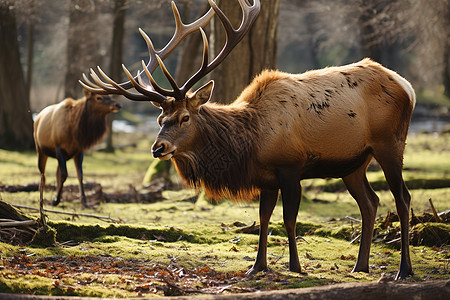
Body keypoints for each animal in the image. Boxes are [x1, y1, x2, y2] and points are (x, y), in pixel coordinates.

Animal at [33, 88, 121, 216]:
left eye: (110, 96)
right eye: (98, 97)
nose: (118, 105)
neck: (75, 131)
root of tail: (37, 118)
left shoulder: (79, 151)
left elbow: (80, 175)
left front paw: (84, 202)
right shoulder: (59, 148)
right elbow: (65, 174)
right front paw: (55, 200)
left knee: (56, 172)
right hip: (40, 149)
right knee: (43, 174)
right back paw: (42, 198)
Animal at [80, 0, 414, 278]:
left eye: (185, 117)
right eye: (161, 120)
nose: (158, 148)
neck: (251, 142)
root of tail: (406, 86)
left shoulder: (291, 167)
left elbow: (289, 219)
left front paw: (295, 267)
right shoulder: (266, 178)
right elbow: (263, 219)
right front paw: (258, 266)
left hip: (390, 143)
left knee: (402, 198)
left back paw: (403, 270)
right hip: (353, 163)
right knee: (370, 202)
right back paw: (361, 265)